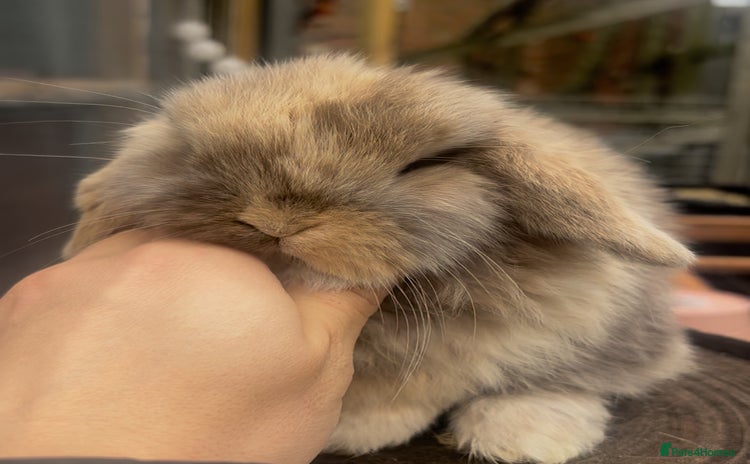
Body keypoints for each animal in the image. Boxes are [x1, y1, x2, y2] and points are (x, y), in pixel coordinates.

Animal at [63, 55, 694, 463]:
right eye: (189, 153)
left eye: (423, 166)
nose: (275, 220)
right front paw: (357, 427)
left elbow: (553, 383)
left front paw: (525, 440)